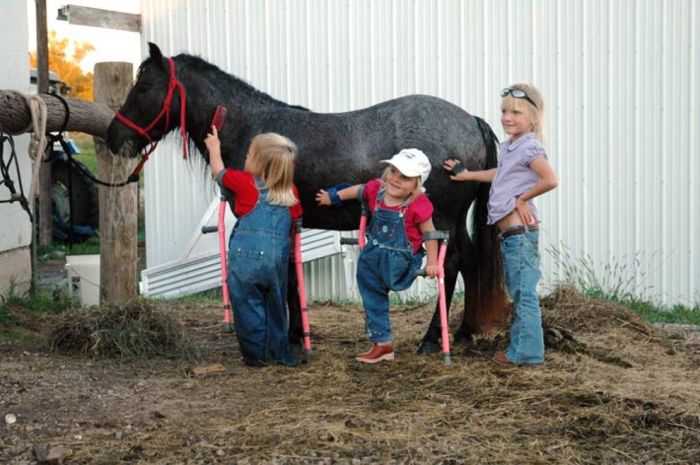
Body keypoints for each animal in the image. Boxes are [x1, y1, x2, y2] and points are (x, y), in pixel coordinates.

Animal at [105, 43, 508, 352]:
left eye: (144, 87)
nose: (113, 137)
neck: (252, 131)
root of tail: (471, 120)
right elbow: (289, 275)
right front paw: (298, 334)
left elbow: (279, 274)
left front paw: (285, 336)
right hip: (454, 221)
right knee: (470, 261)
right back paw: (464, 332)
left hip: (439, 221)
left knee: (450, 265)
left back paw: (432, 340)